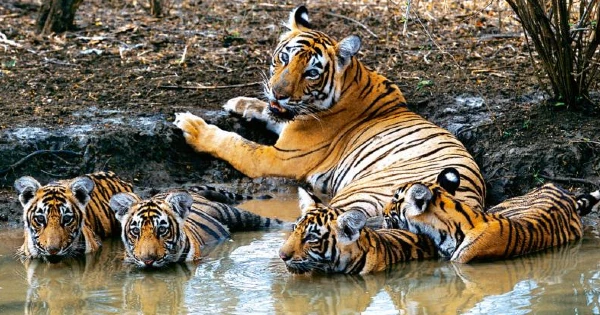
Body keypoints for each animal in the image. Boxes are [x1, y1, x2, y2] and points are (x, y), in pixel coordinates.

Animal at [175, 5, 488, 217]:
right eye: (284, 57)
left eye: (312, 72)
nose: (279, 92)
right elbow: (266, 111)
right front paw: (239, 103)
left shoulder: (278, 158)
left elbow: (235, 143)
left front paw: (193, 126)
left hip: (360, 194)